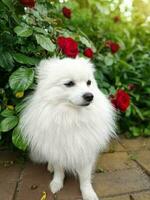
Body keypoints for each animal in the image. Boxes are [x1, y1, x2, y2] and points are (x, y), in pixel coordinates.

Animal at [19, 57, 116, 199]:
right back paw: (50, 166)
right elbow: (59, 170)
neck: (71, 118)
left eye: (89, 83)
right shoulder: (58, 149)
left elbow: (85, 178)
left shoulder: (85, 150)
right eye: (69, 83)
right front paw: (56, 184)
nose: (89, 96)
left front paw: (88, 193)